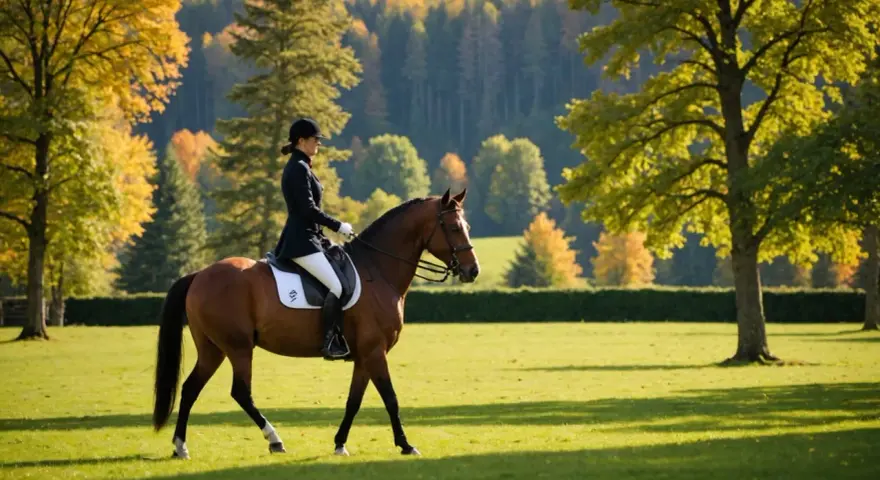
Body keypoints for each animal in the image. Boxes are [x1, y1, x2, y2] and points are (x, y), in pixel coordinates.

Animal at [151, 188, 480, 459]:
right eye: (453, 228)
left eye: (467, 227)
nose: (472, 271)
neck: (378, 271)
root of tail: (199, 275)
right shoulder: (376, 352)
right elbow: (390, 397)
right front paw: (406, 444)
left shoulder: (364, 356)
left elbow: (354, 401)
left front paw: (340, 444)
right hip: (238, 347)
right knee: (240, 392)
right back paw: (274, 440)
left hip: (213, 349)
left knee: (190, 389)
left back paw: (180, 446)